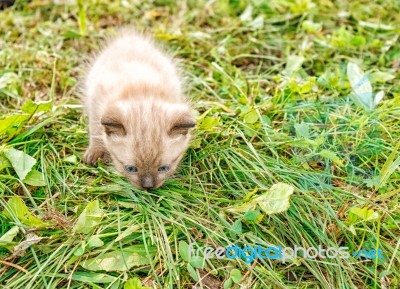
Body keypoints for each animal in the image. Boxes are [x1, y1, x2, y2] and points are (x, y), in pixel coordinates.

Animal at [83, 29, 195, 189]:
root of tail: (130, 38)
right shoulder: (95, 102)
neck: (141, 92)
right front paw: (97, 152)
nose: (148, 186)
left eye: (164, 168)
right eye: (131, 169)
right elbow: (96, 130)